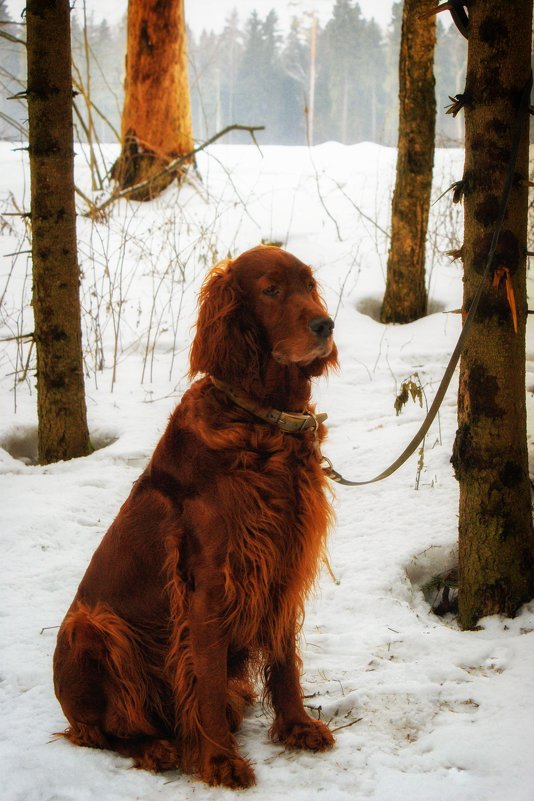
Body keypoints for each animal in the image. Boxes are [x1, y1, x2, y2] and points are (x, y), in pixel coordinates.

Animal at [54, 244, 340, 788]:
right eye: (270, 289)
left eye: (310, 284)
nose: (325, 324)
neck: (262, 422)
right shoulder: (209, 583)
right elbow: (204, 680)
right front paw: (220, 760)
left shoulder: (281, 567)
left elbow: (285, 661)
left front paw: (296, 726)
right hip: (94, 627)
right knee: (104, 731)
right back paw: (157, 747)